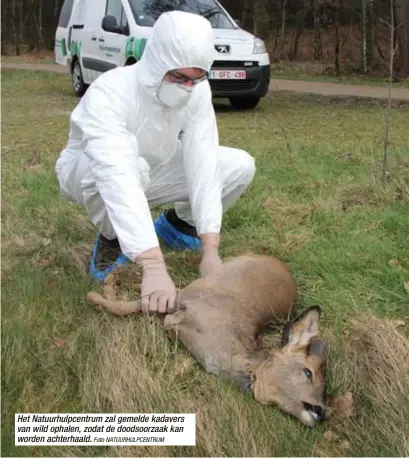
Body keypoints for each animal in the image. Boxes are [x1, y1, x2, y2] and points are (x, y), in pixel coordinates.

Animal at [87, 252, 326, 428]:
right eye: (308, 372)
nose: (322, 411)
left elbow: (124, 306)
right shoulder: (181, 300)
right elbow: (121, 306)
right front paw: (97, 291)